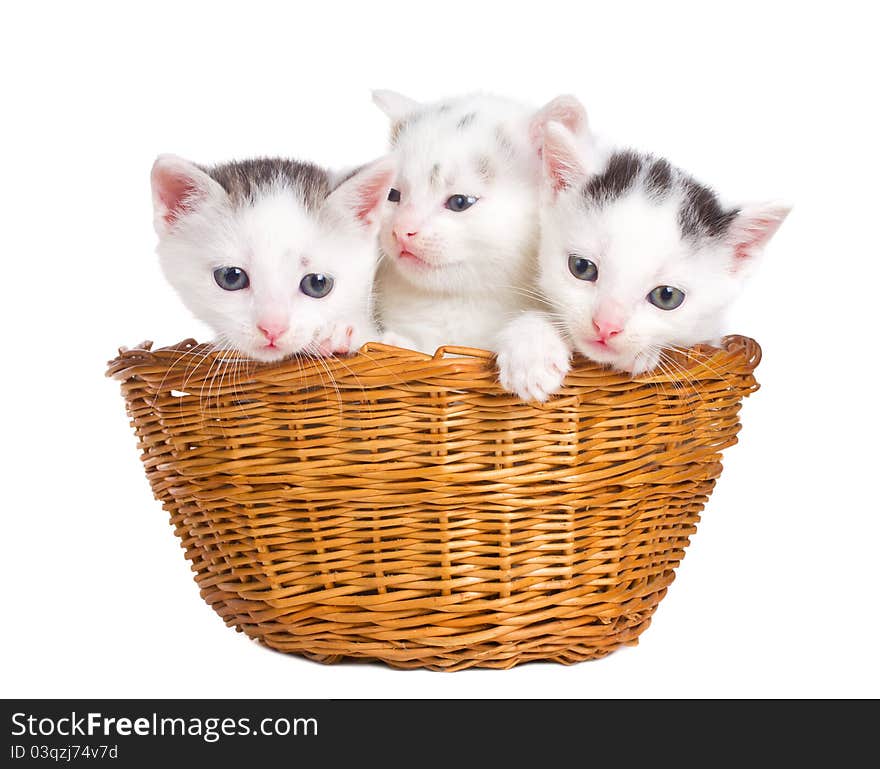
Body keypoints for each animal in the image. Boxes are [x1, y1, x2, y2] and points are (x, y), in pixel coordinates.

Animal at [370, 89, 592, 352]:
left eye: (459, 202)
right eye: (393, 195)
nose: (401, 230)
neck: (459, 302)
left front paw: (532, 347)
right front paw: (392, 342)